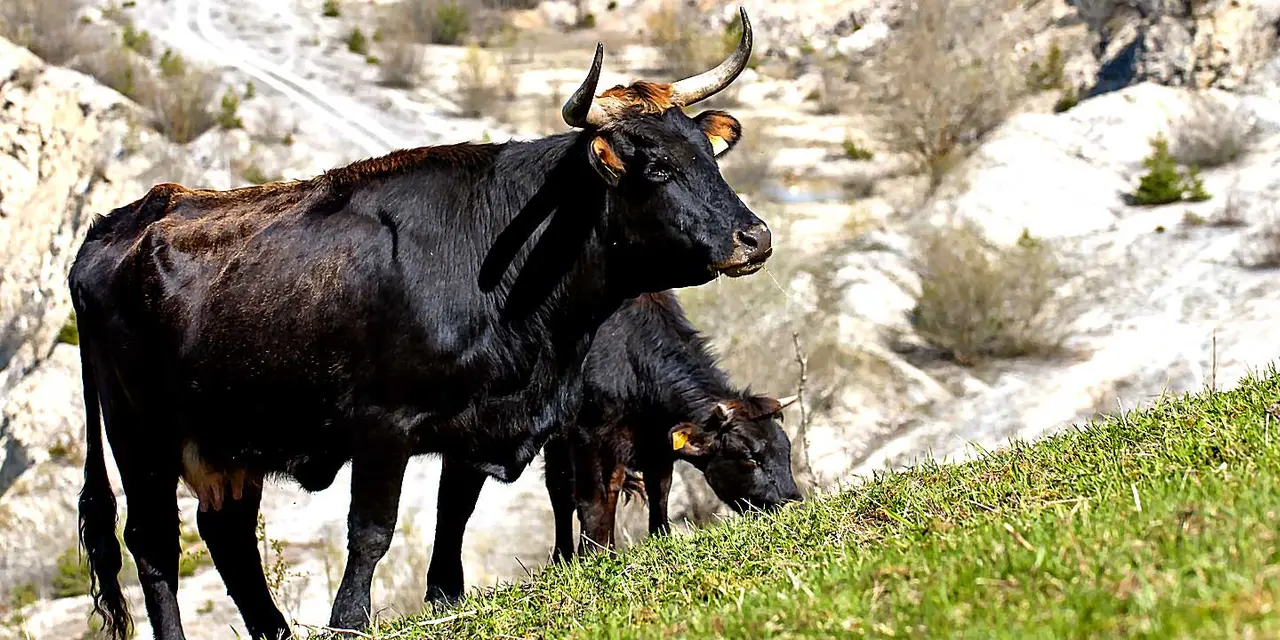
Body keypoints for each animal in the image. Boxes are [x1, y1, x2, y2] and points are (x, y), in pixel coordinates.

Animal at [69, 10, 765, 640]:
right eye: (657, 168)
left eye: (709, 157)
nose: (754, 237)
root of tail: (123, 219)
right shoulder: (383, 426)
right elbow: (371, 532)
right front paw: (349, 621)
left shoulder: (476, 424)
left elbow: (453, 516)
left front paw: (445, 599)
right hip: (139, 434)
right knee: (154, 543)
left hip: (230, 439)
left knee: (228, 537)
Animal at [422, 290, 804, 605]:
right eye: (749, 457)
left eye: (785, 450)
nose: (792, 501)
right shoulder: (589, 433)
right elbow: (591, 500)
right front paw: (596, 557)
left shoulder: (655, 439)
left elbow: (660, 488)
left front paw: (660, 539)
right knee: (558, 491)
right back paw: (563, 558)